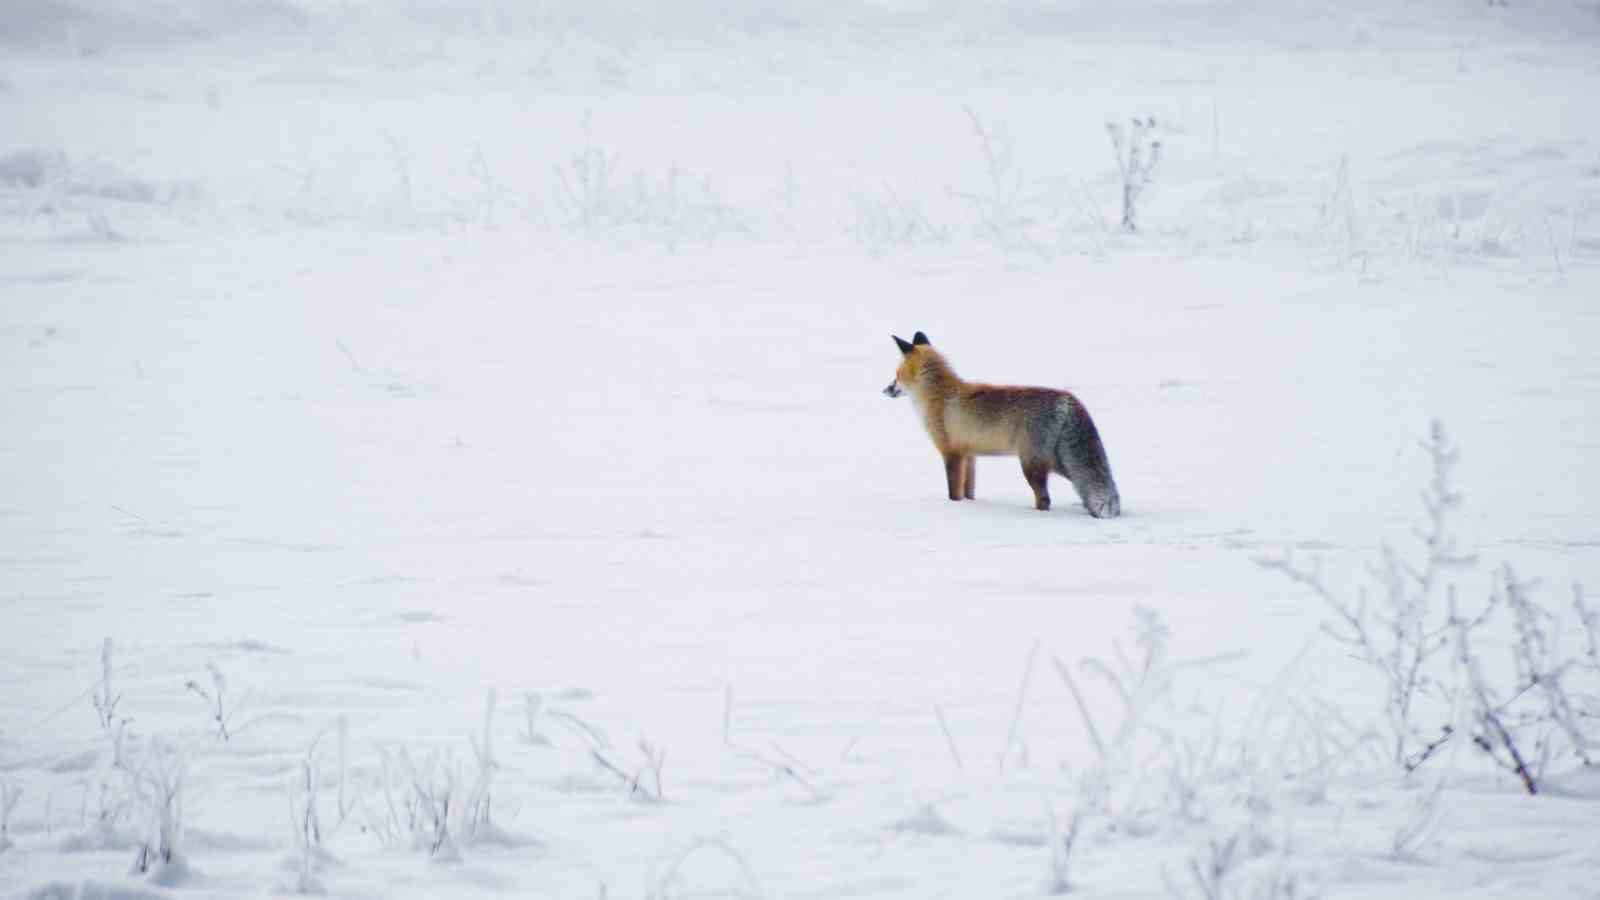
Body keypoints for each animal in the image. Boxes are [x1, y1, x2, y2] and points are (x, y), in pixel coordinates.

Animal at [883, 329, 1120, 515]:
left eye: (896, 375)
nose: (884, 390)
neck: (939, 396)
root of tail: (1068, 399)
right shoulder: (969, 455)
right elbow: (969, 491)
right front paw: (969, 505)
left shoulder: (952, 454)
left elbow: (953, 493)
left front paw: (954, 508)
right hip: (1059, 463)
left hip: (1032, 465)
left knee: (1045, 499)